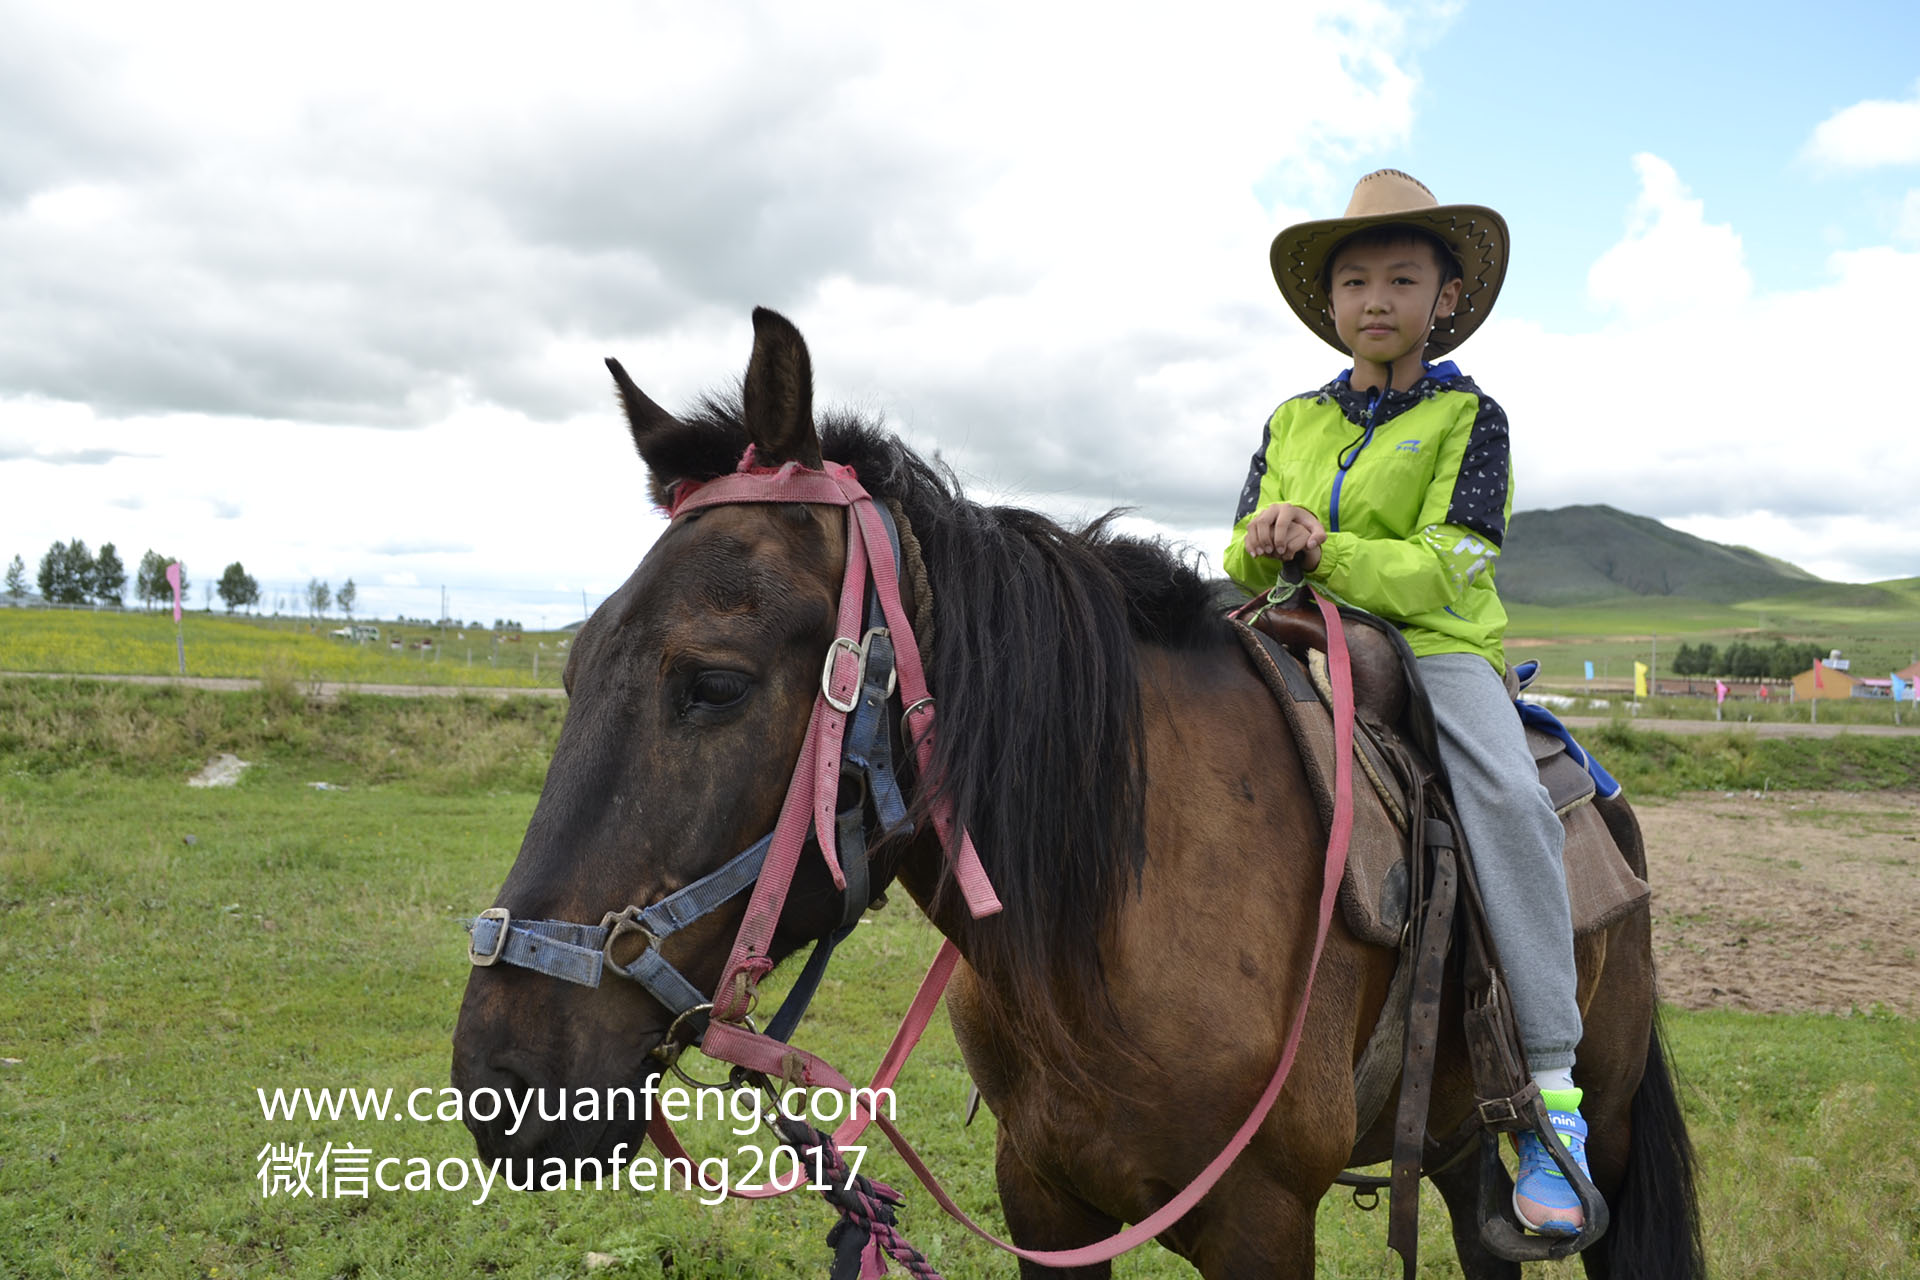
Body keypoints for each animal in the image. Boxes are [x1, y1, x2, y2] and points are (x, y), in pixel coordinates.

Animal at [445, 312, 1697, 1280]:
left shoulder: (1261, 1224)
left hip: (1601, 1115)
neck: (1110, 932)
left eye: (712, 682)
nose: (504, 1082)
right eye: (572, 666)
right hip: (1458, 1142)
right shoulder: (1042, 1197)